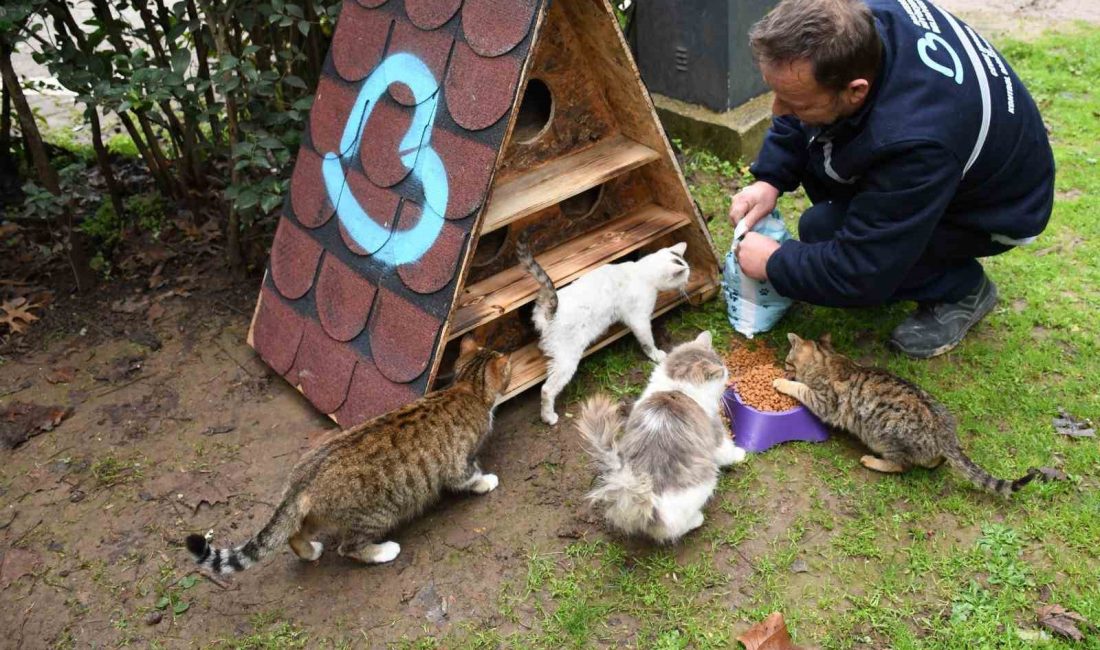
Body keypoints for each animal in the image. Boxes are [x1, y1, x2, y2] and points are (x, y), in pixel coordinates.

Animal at [187, 340, 512, 576]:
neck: (466, 387)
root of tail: (302, 480)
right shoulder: (458, 464)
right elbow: (470, 476)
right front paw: (487, 481)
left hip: (316, 514)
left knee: (294, 534)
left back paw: (310, 551)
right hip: (376, 514)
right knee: (348, 548)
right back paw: (383, 551)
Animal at [514, 234, 686, 426]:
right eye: (685, 275)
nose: (688, 281)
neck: (641, 272)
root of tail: (553, 308)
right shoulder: (639, 320)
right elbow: (647, 341)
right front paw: (656, 354)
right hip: (566, 361)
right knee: (547, 389)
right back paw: (548, 417)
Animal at [576, 329, 748, 543]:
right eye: (723, 373)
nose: (728, 377)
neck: (676, 388)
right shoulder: (716, 433)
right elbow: (727, 450)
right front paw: (741, 454)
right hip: (706, 482)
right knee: (677, 528)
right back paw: (697, 519)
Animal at [770, 332, 1034, 494]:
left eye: (788, 361)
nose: (783, 367)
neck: (829, 359)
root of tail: (946, 436)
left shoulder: (825, 402)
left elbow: (801, 388)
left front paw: (782, 382)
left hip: (885, 437)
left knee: (901, 465)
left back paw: (872, 461)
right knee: (933, 461)